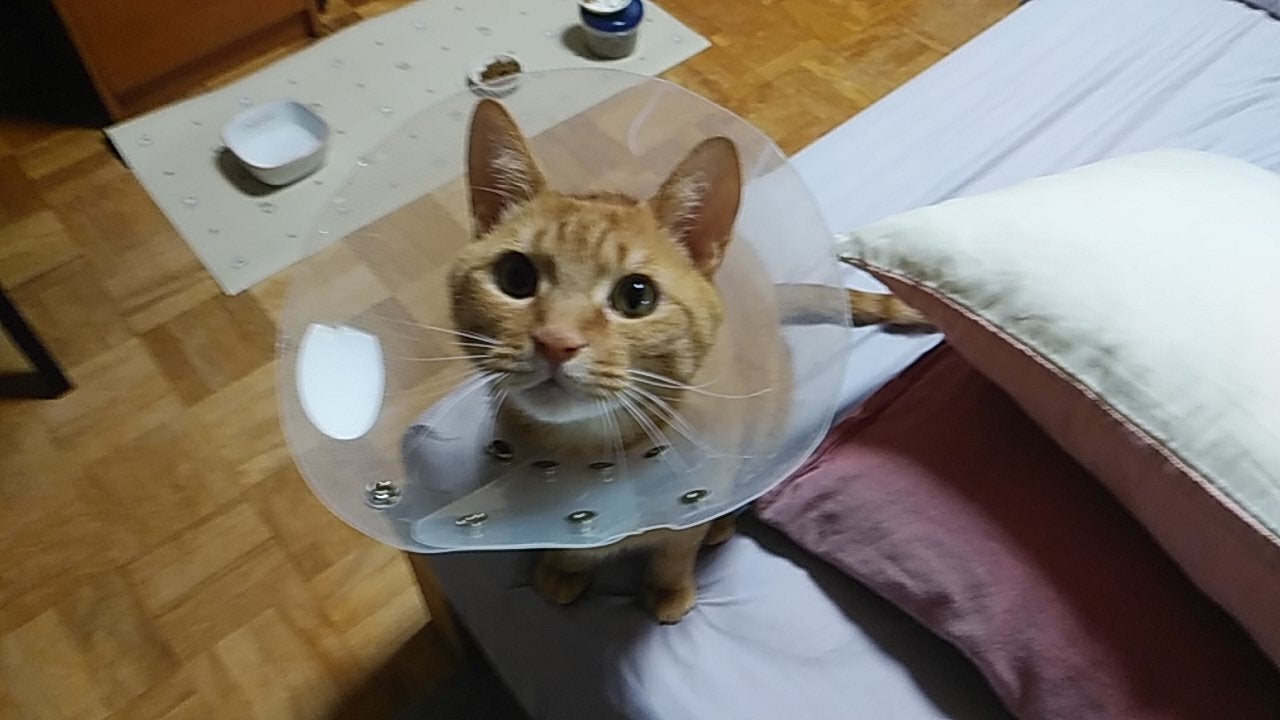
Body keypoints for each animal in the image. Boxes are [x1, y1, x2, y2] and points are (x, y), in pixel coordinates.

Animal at [447, 98, 927, 623]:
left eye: (636, 296)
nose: (556, 341)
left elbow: (677, 549)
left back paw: (721, 525)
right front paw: (563, 567)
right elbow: (568, 545)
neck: (587, 455)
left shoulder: (695, 501)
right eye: (515, 277)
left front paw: (668, 588)